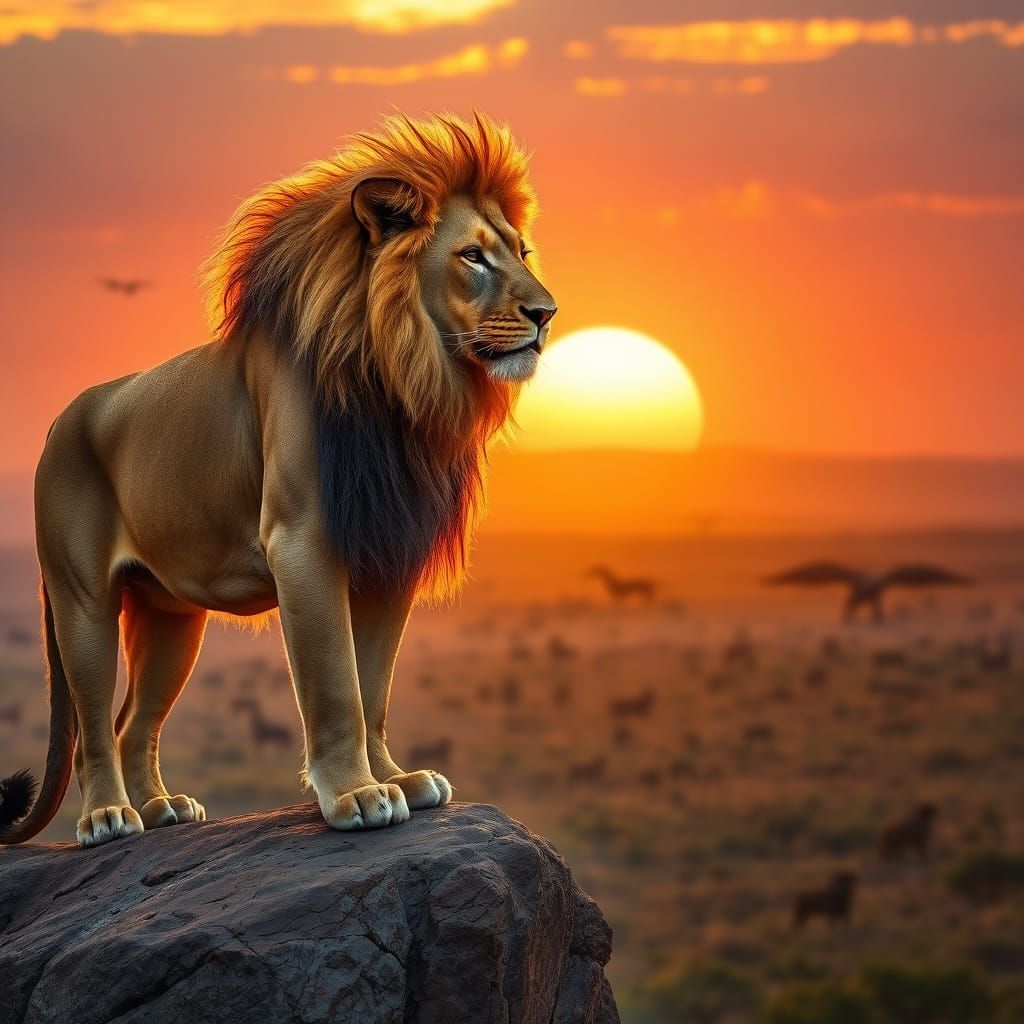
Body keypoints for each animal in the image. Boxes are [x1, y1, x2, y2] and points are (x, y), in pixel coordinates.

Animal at [0, 113, 556, 848]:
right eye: (473, 256)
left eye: (522, 251)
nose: (548, 314)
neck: (404, 378)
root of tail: (59, 423)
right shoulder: (303, 542)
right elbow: (337, 684)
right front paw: (356, 795)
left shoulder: (388, 549)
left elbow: (373, 687)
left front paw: (399, 779)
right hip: (82, 600)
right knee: (94, 725)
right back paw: (109, 818)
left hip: (171, 617)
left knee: (132, 724)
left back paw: (161, 808)